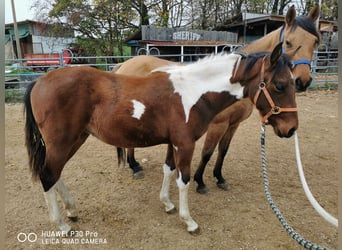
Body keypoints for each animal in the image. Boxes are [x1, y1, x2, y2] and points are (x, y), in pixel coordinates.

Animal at [24, 42, 296, 232]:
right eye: (280, 85)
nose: (291, 129)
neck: (193, 92)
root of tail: (39, 81)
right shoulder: (185, 144)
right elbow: (184, 179)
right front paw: (189, 221)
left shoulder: (173, 142)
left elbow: (168, 169)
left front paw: (167, 203)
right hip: (63, 141)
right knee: (48, 175)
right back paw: (62, 225)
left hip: (75, 139)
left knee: (54, 173)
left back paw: (71, 210)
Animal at [115, 4, 320, 193]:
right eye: (288, 42)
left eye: (315, 42)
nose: (303, 81)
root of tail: (125, 64)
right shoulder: (217, 124)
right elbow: (207, 152)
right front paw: (200, 181)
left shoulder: (233, 124)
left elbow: (223, 150)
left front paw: (219, 178)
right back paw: (134, 166)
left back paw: (134, 164)